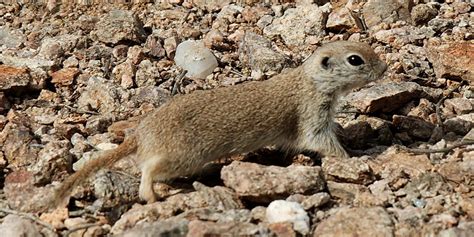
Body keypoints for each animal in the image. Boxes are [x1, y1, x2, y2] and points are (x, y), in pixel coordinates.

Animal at [51, 40, 386, 206]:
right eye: (355, 59)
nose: (383, 69)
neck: (310, 80)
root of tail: (143, 134)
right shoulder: (312, 116)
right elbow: (322, 142)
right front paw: (355, 158)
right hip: (185, 157)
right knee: (149, 170)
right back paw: (152, 195)